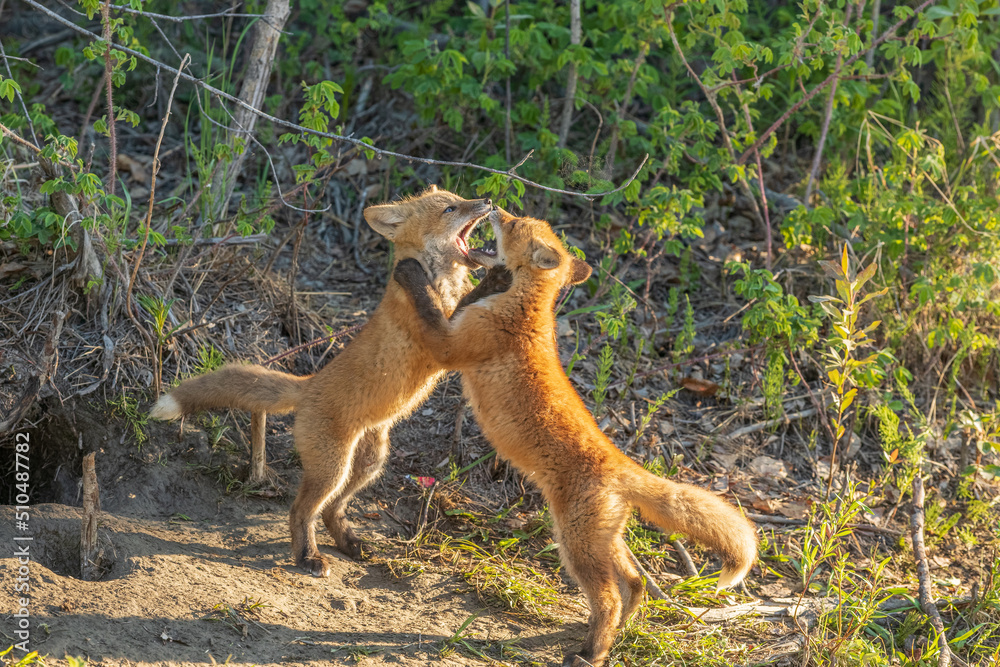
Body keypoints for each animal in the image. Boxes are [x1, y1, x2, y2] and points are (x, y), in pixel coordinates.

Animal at [151, 186, 500, 577]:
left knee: (333, 508)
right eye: (451, 208)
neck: (443, 281)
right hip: (333, 467)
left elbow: (474, 298)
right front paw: (415, 274)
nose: (488, 202)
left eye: (460, 199)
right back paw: (308, 556)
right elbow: (432, 297)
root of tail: (309, 383)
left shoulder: (457, 324)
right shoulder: (442, 337)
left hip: (368, 463)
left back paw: (348, 542)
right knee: (301, 510)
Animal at [392, 209, 758, 667]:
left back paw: (592, 652)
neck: (526, 309)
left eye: (512, 225)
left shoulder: (450, 345)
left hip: (575, 544)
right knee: (635, 583)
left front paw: (409, 272)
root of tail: (622, 464)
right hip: (603, 540)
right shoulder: (460, 322)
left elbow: (426, 302)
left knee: (609, 598)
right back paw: (615, 634)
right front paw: (491, 277)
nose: (494, 205)